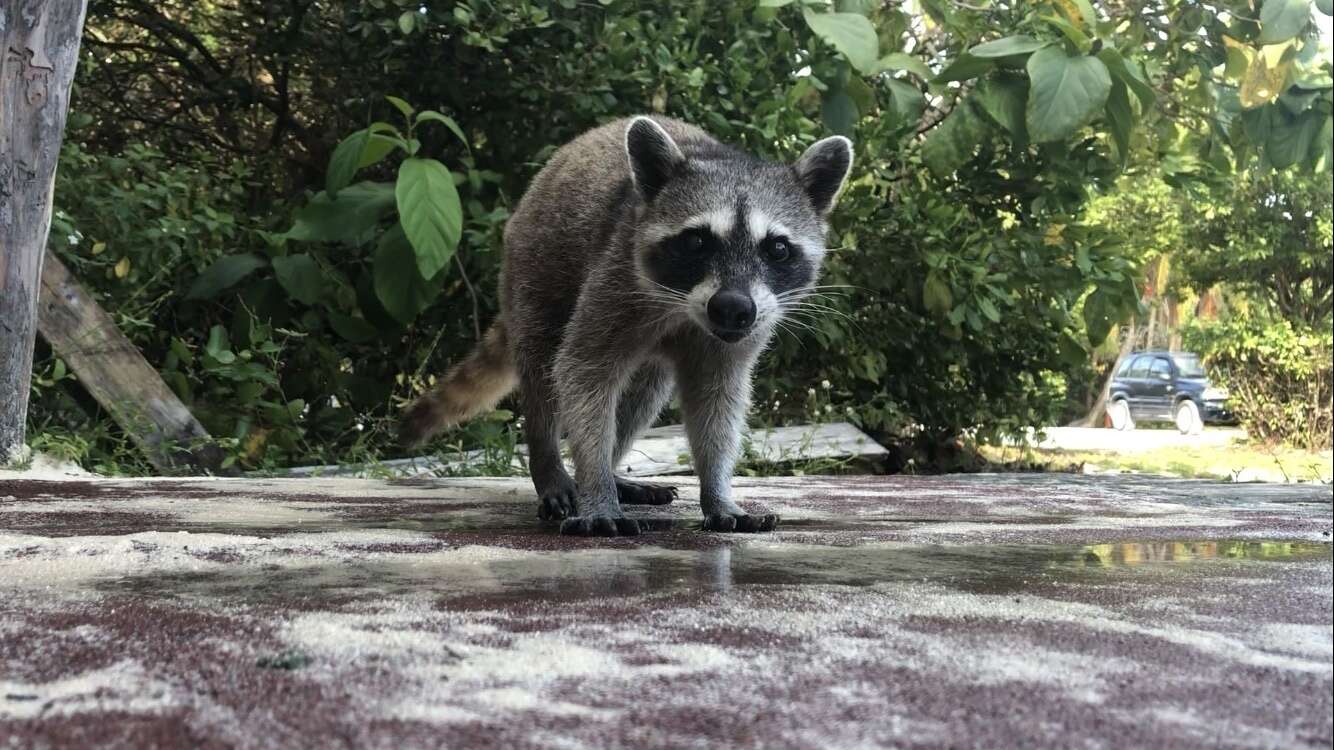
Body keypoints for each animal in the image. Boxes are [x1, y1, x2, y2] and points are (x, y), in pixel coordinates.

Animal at [400, 116, 848, 533]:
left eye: (777, 249)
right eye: (696, 241)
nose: (733, 308)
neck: (686, 311)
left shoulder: (743, 330)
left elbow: (717, 398)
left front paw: (718, 492)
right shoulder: (615, 278)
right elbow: (582, 372)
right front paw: (596, 489)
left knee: (644, 394)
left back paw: (615, 470)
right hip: (533, 266)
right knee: (544, 372)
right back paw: (554, 468)